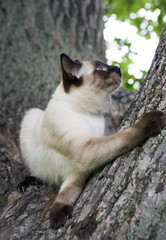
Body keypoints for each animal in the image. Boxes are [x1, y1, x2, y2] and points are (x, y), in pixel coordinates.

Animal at [19, 54, 165, 229]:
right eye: (100, 68)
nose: (117, 67)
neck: (88, 113)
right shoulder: (84, 150)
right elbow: (126, 135)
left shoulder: (79, 167)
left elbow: (68, 192)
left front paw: (57, 216)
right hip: (31, 116)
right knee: (35, 171)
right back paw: (27, 182)